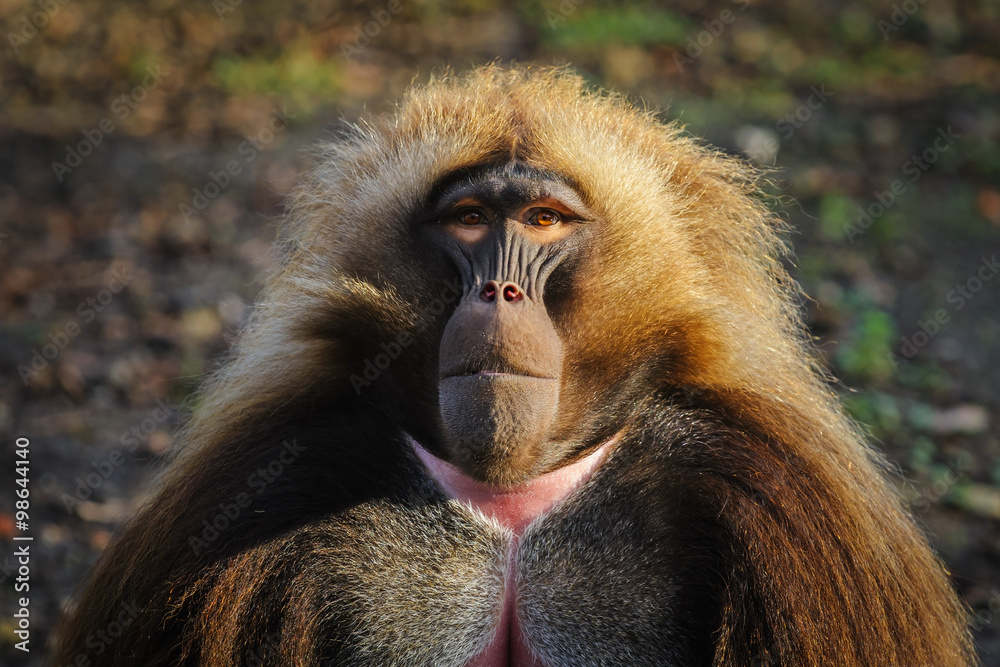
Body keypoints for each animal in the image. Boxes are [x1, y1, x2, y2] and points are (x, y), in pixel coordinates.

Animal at [52, 65, 976, 666]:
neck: (513, 499)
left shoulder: (781, 503)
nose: (499, 289)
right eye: (467, 217)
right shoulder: (266, 480)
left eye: (541, 220)